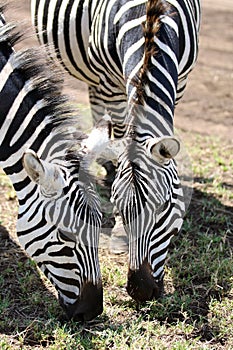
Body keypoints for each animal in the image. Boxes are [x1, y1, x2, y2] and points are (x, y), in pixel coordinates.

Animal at [31, 0, 201, 300]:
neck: (149, 17)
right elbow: (120, 135)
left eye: (164, 207)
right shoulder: (111, 83)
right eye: (118, 206)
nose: (140, 290)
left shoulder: (180, 81)